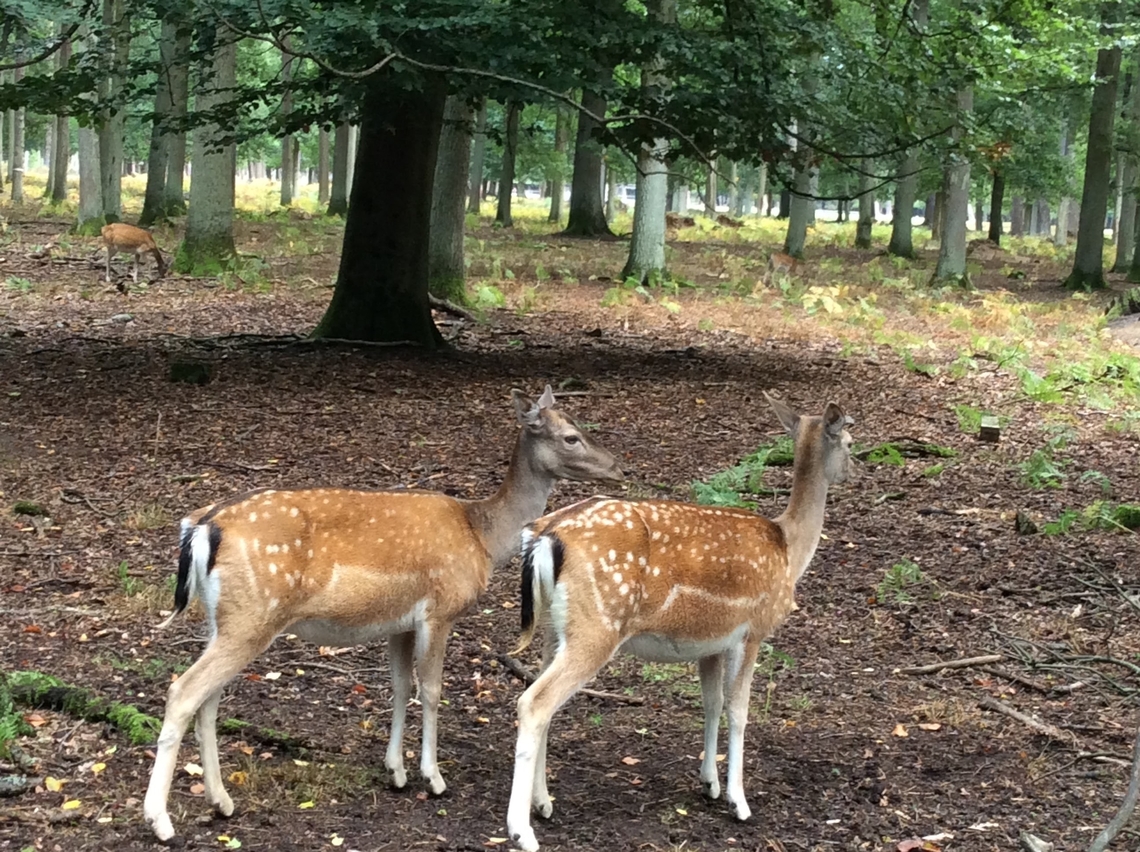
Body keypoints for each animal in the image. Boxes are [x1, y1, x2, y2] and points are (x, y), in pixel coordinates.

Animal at [142, 386, 624, 842]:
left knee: (208, 700)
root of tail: (202, 526)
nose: (618, 467)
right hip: (252, 616)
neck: (482, 536)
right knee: (184, 691)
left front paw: (396, 771)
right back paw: (161, 821)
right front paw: (433, 777)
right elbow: (431, 690)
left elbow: (399, 686)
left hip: (221, 619)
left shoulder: (400, 623)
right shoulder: (440, 610)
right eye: (571, 436)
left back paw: (222, 802)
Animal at [504, 394, 854, 852]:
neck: (789, 550)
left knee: (541, 696)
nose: (854, 470)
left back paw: (544, 804)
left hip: (553, 628)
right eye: (851, 439)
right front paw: (739, 802)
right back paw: (521, 831)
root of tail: (544, 534)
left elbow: (711, 703)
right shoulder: (753, 629)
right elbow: (740, 710)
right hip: (598, 625)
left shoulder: (711, 643)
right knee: (534, 703)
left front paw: (710, 784)